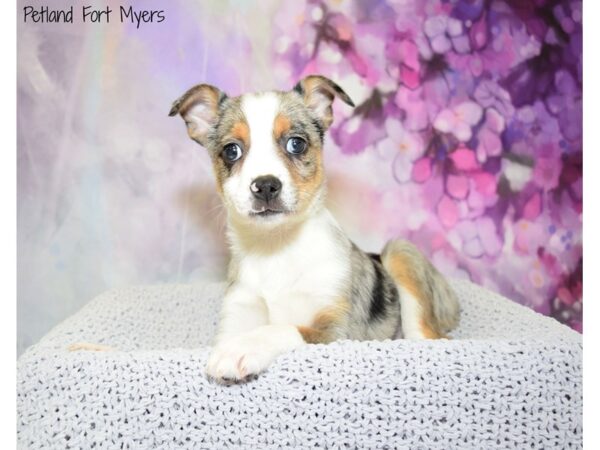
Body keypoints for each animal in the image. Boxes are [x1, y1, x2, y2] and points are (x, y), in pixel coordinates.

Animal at [169, 75, 460, 382]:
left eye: (296, 144)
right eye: (231, 150)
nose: (266, 186)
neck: (276, 248)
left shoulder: (339, 330)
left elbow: (284, 328)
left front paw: (242, 349)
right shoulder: (237, 316)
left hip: (400, 252)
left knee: (428, 335)